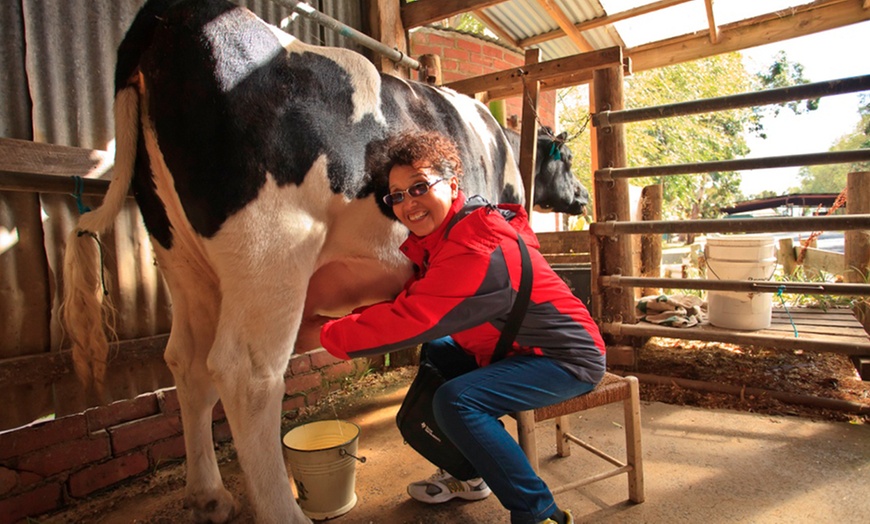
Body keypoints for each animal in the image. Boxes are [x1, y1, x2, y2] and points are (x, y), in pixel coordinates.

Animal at [59, 1, 532, 524]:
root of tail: (174, 11)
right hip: (271, 249)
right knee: (247, 373)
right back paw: (281, 511)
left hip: (181, 259)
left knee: (187, 361)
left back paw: (208, 496)